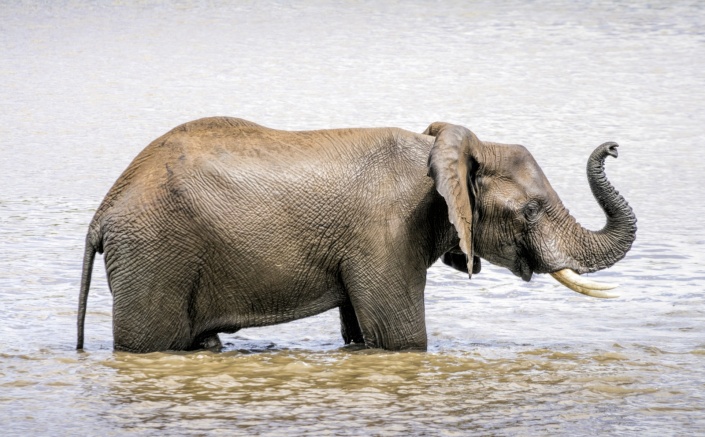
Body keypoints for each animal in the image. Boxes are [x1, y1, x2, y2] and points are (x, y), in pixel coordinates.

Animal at [76, 117, 636, 353]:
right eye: (532, 210)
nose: (613, 147)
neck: (442, 149)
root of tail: (103, 212)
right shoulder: (388, 231)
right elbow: (399, 337)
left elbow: (362, 332)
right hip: (155, 254)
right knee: (152, 344)